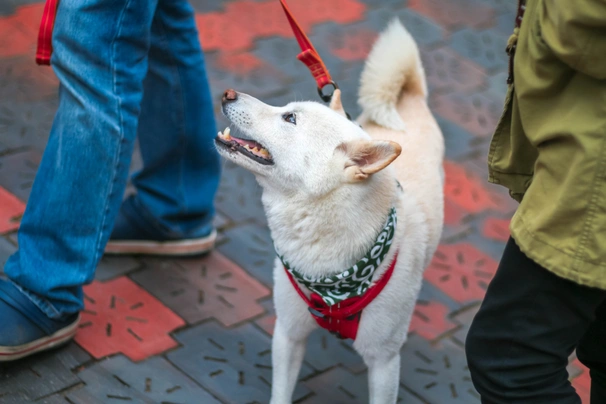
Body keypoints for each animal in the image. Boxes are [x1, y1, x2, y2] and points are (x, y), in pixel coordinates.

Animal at [216, 19, 444, 404]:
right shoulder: (288, 331)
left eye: (289, 117)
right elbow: (281, 393)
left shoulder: (384, 361)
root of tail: (408, 99)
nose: (227, 93)